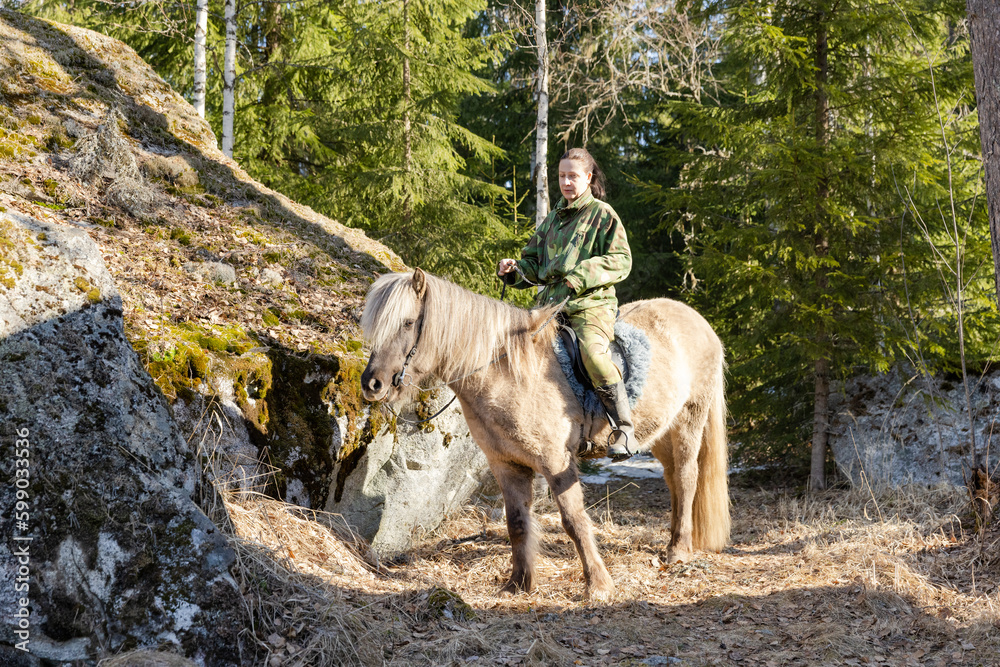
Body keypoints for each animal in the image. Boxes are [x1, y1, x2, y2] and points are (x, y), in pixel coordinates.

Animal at [359, 268, 729, 601]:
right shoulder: (506, 465)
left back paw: (678, 552)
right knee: (673, 480)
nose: (372, 384)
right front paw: (518, 584)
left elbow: (574, 521)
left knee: (686, 477)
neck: (506, 371)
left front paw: (598, 586)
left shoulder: (556, 462)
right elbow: (517, 523)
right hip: (661, 432)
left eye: (408, 323)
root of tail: (698, 320)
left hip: (689, 420)